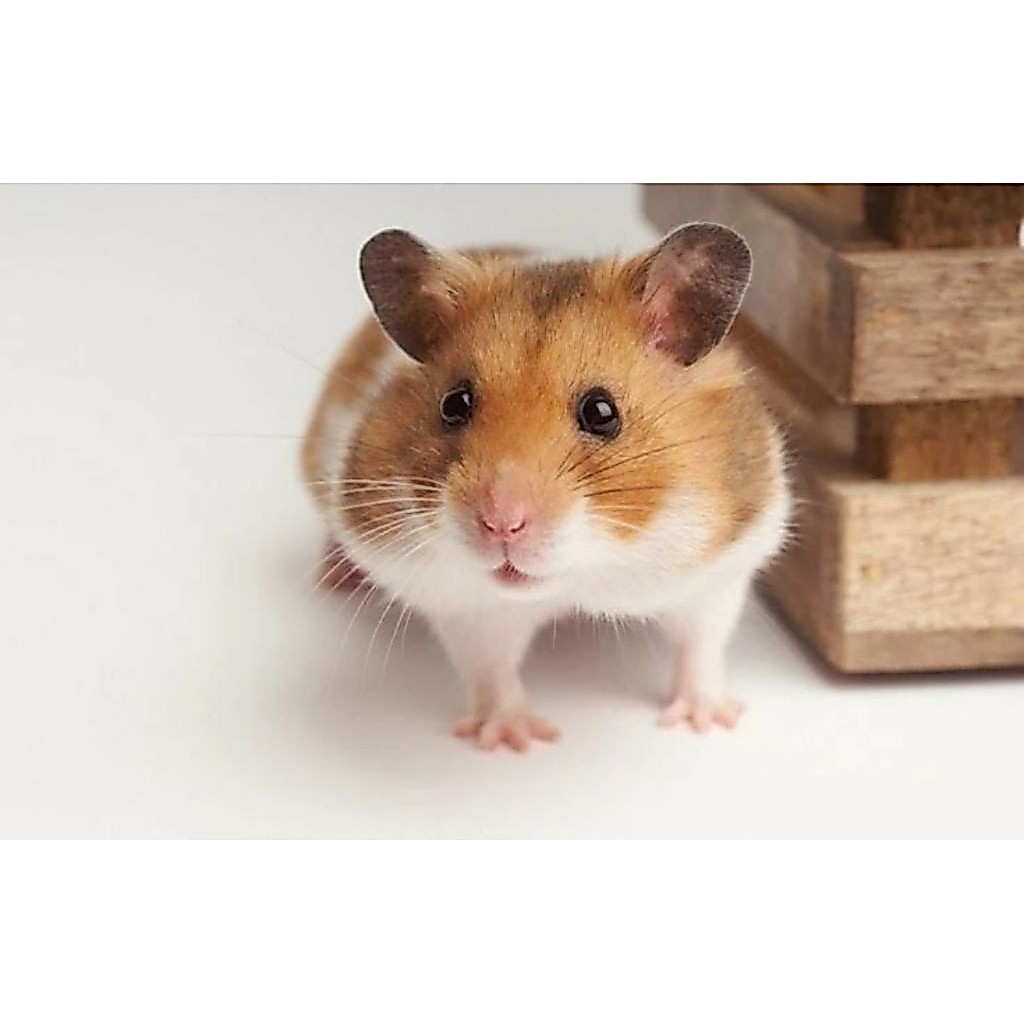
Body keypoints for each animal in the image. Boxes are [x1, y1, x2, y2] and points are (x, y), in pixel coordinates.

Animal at [301, 224, 790, 751]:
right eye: (454, 404)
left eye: (602, 412)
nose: (501, 523)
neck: (584, 576)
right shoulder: (465, 604)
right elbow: (491, 669)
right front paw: (512, 740)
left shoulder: (719, 570)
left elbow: (701, 645)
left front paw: (707, 722)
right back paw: (335, 576)